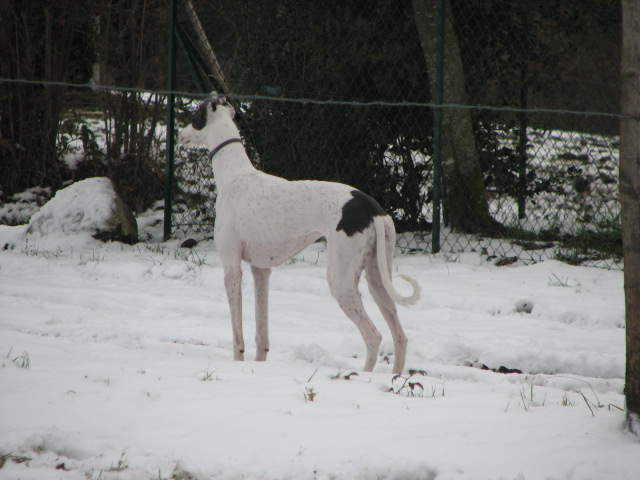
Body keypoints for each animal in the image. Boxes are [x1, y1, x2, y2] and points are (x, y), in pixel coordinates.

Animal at [178, 93, 420, 374]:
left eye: (195, 116)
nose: (180, 135)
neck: (234, 174)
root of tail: (370, 206)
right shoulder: (261, 271)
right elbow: (262, 334)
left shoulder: (232, 270)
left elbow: (238, 335)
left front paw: (239, 365)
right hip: (377, 277)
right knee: (400, 335)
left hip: (341, 281)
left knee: (373, 335)